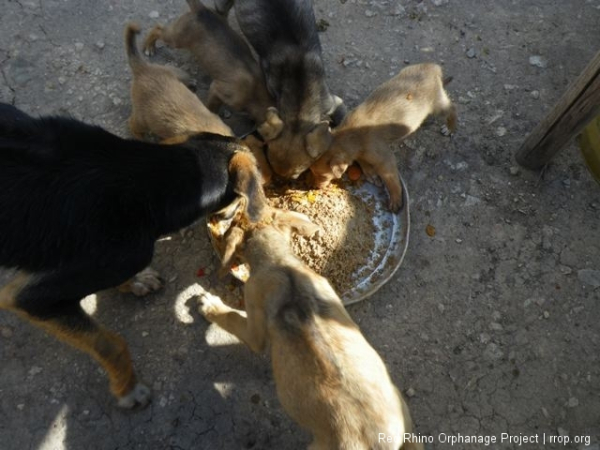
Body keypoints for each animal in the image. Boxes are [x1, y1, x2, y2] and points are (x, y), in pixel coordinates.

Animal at [0, 104, 268, 408]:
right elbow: (110, 343)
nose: (257, 130)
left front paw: (135, 282)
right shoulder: (31, 298)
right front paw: (128, 389)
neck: (149, 181)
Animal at [141, 0, 274, 132]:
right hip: (176, 39)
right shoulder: (216, 89)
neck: (257, 94)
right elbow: (211, 107)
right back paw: (149, 46)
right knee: (158, 28)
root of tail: (201, 10)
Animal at [310, 62, 454, 212]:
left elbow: (391, 180)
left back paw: (450, 128)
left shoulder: (385, 159)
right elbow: (362, 160)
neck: (351, 135)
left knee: (452, 108)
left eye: (322, 175)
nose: (314, 187)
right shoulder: (361, 152)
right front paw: (370, 173)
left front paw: (396, 199)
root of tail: (433, 67)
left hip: (438, 104)